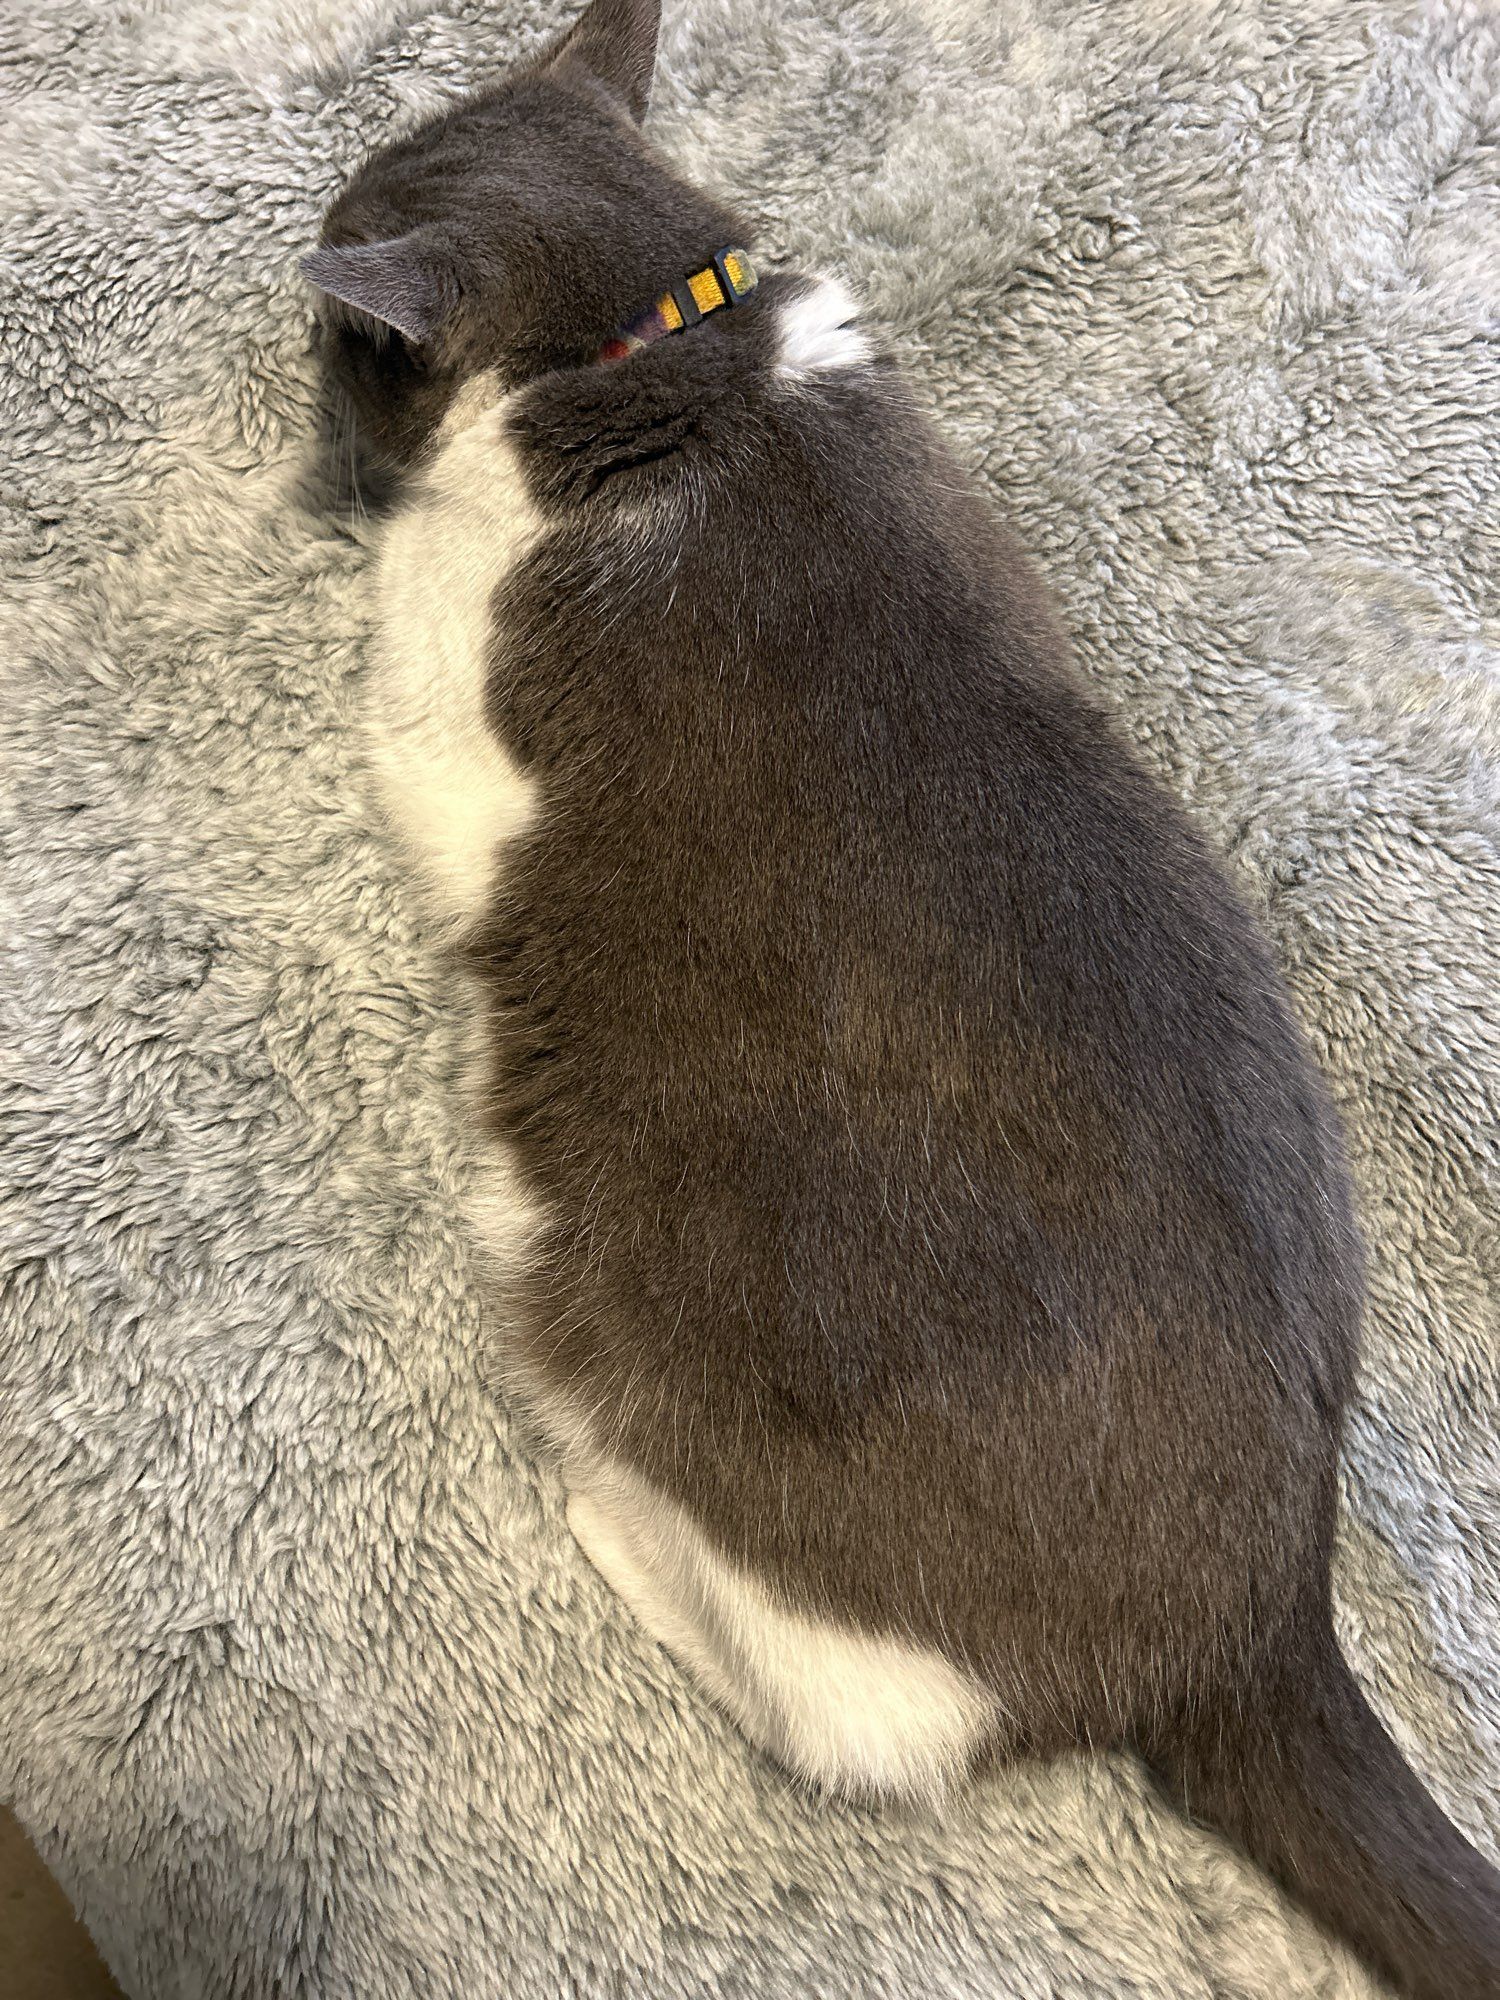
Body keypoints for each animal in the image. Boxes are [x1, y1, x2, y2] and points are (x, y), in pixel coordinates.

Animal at [306, 7, 1500, 1992]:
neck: (652, 341)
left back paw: (614, 1530)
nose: (309, 405)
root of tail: (1266, 1610)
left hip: (728, 1440)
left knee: (864, 1725)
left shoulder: (438, 724)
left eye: (344, 342)